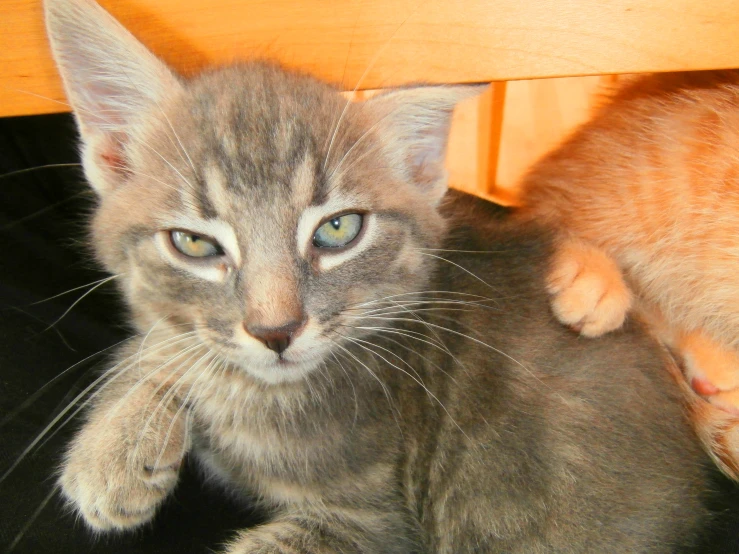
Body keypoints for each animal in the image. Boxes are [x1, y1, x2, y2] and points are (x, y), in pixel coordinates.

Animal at [46, 0, 712, 548]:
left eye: (338, 230)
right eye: (194, 242)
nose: (276, 330)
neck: (263, 395)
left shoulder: (368, 521)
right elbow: (165, 334)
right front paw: (114, 439)